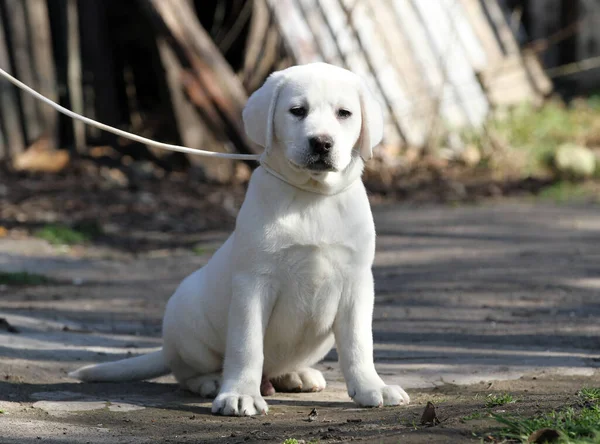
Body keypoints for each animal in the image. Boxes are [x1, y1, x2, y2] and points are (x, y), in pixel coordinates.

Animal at [68, 62, 410, 416]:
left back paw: (297, 375)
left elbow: (358, 343)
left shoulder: (356, 282)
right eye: (297, 111)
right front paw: (240, 394)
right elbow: (247, 345)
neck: (312, 197)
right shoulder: (253, 283)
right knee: (185, 370)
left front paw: (372, 387)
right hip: (186, 318)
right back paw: (212, 382)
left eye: (344, 113)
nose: (321, 143)